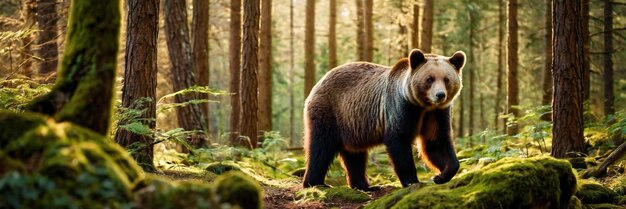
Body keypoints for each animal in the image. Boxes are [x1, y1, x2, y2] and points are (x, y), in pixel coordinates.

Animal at [300, 49, 466, 191]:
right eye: (429, 79)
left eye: (446, 79)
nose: (440, 95)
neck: (423, 106)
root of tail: (320, 81)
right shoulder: (401, 107)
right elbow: (399, 141)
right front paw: (413, 181)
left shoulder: (436, 114)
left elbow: (437, 142)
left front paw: (441, 176)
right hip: (330, 111)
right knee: (321, 146)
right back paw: (315, 183)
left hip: (352, 124)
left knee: (354, 155)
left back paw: (365, 186)